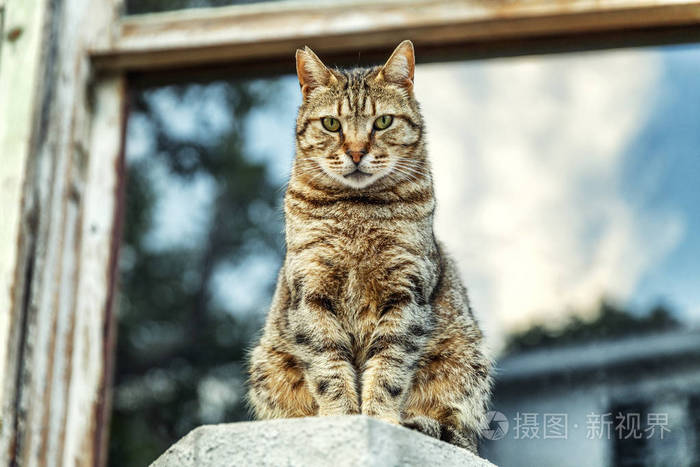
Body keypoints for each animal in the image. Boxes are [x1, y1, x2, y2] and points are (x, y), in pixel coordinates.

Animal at [247, 41, 492, 454]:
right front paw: (343, 419)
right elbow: (328, 367)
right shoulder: (312, 291)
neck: (357, 212)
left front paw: (379, 418)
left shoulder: (406, 293)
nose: (357, 152)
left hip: (464, 362)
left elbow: (388, 368)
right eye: (332, 124)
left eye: (383, 122)